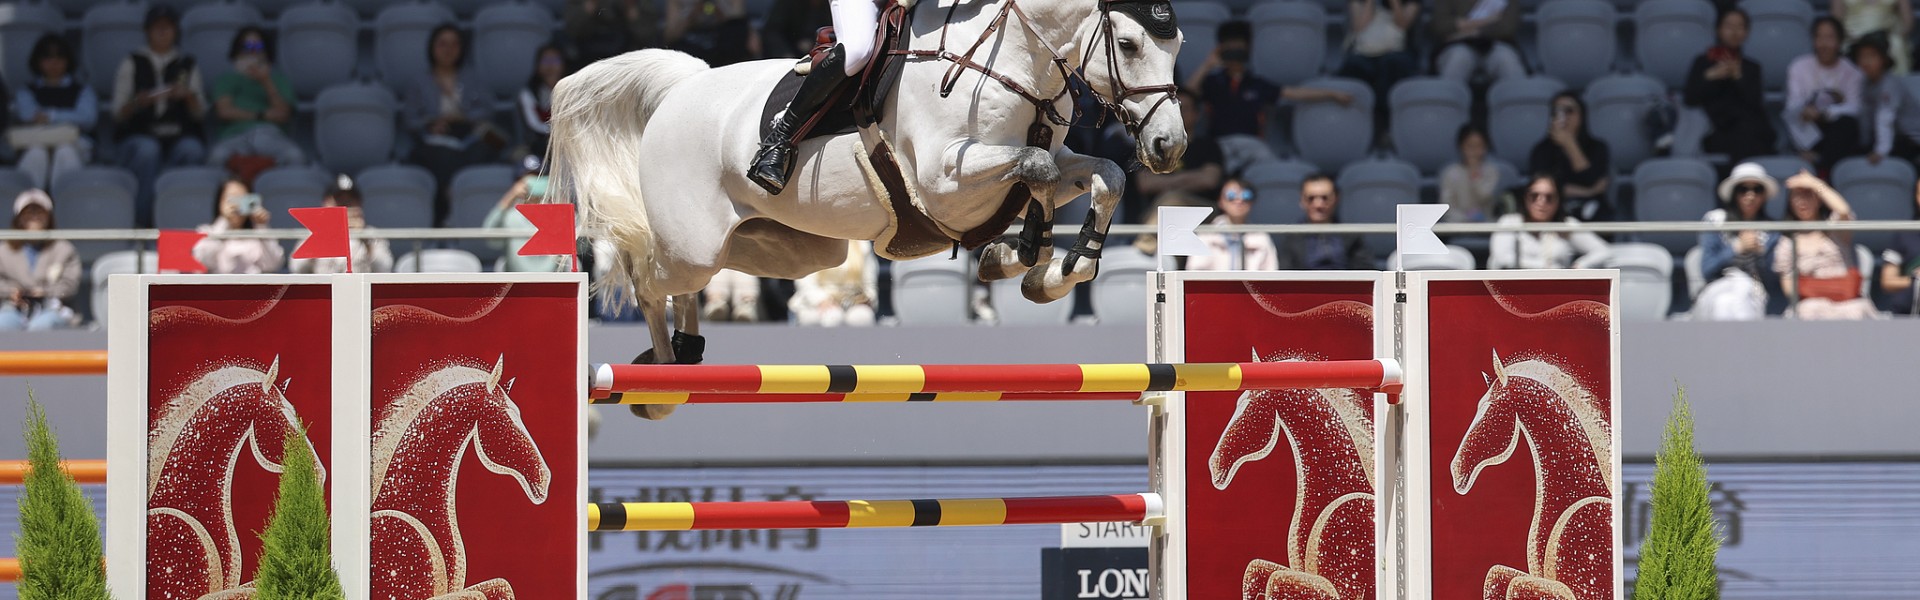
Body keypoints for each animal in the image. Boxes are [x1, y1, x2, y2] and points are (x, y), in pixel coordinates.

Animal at [547, 0, 1188, 387]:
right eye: (1129, 45)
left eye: (1177, 45)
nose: (1169, 145)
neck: (1012, 62)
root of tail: (684, 88)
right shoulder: (942, 180)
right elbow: (1040, 171)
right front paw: (1020, 255)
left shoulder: (1050, 157)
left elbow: (1101, 174)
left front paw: (1053, 270)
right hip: (693, 245)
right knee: (646, 277)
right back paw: (660, 372)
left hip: (789, 249)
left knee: (690, 283)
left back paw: (687, 352)